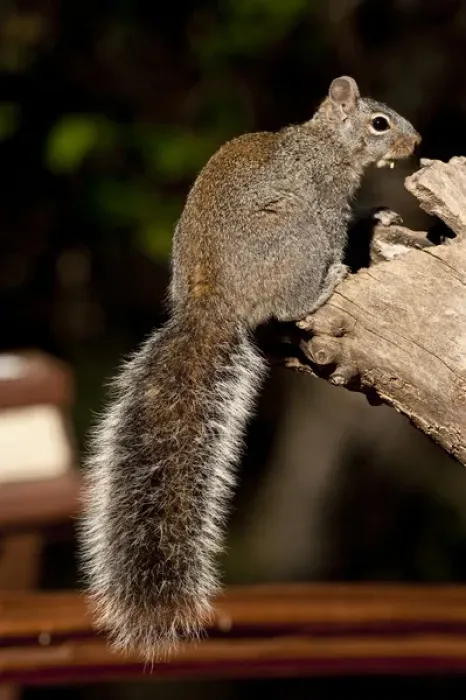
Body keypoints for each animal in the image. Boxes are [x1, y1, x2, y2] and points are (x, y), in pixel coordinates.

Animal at [79, 76, 420, 660]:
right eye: (380, 123)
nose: (415, 142)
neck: (324, 141)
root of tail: (214, 303)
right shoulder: (324, 198)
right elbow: (337, 225)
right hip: (297, 239)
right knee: (291, 302)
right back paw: (326, 283)